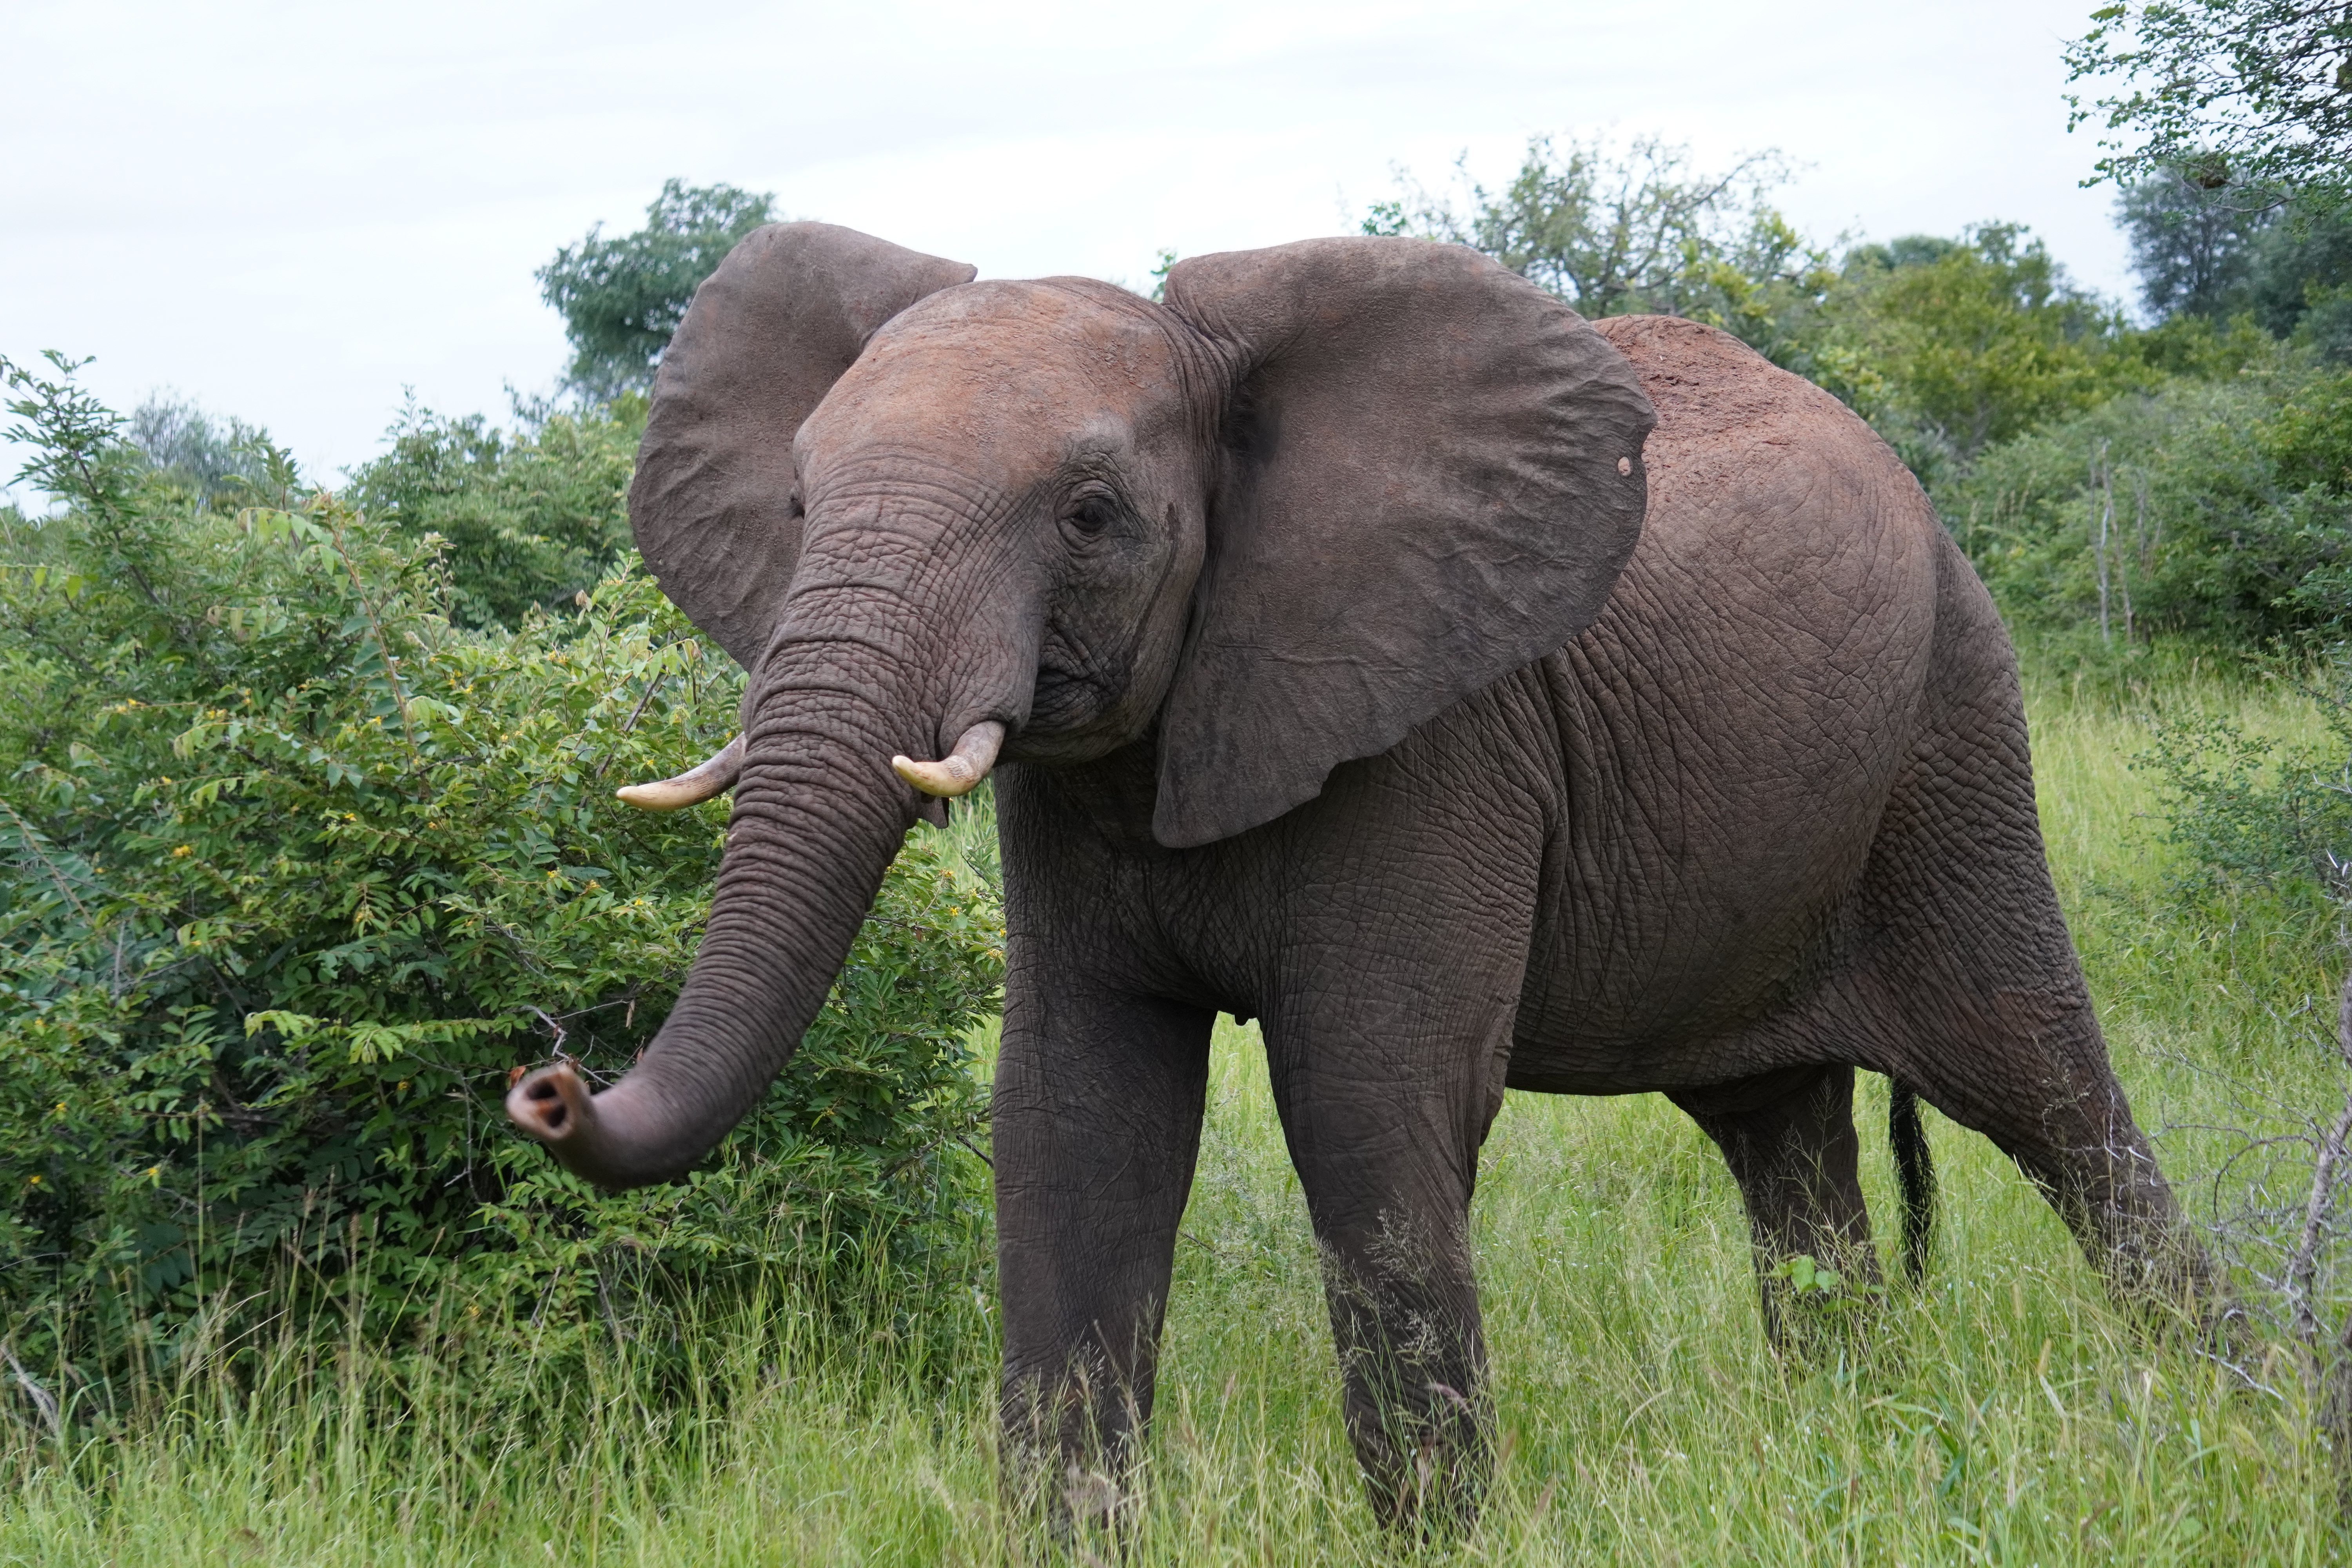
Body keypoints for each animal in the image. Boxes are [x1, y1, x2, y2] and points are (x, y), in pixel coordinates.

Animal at [506, 221, 2212, 1529]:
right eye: (800, 506)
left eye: (1090, 514)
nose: (549, 1083)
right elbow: (1073, 1117)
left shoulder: (1441, 740)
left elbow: (1369, 1105)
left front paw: (1439, 1536)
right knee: (1783, 1143)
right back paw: (1846, 1445)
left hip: (1953, 731)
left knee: (2051, 1097)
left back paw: (2234, 1411)